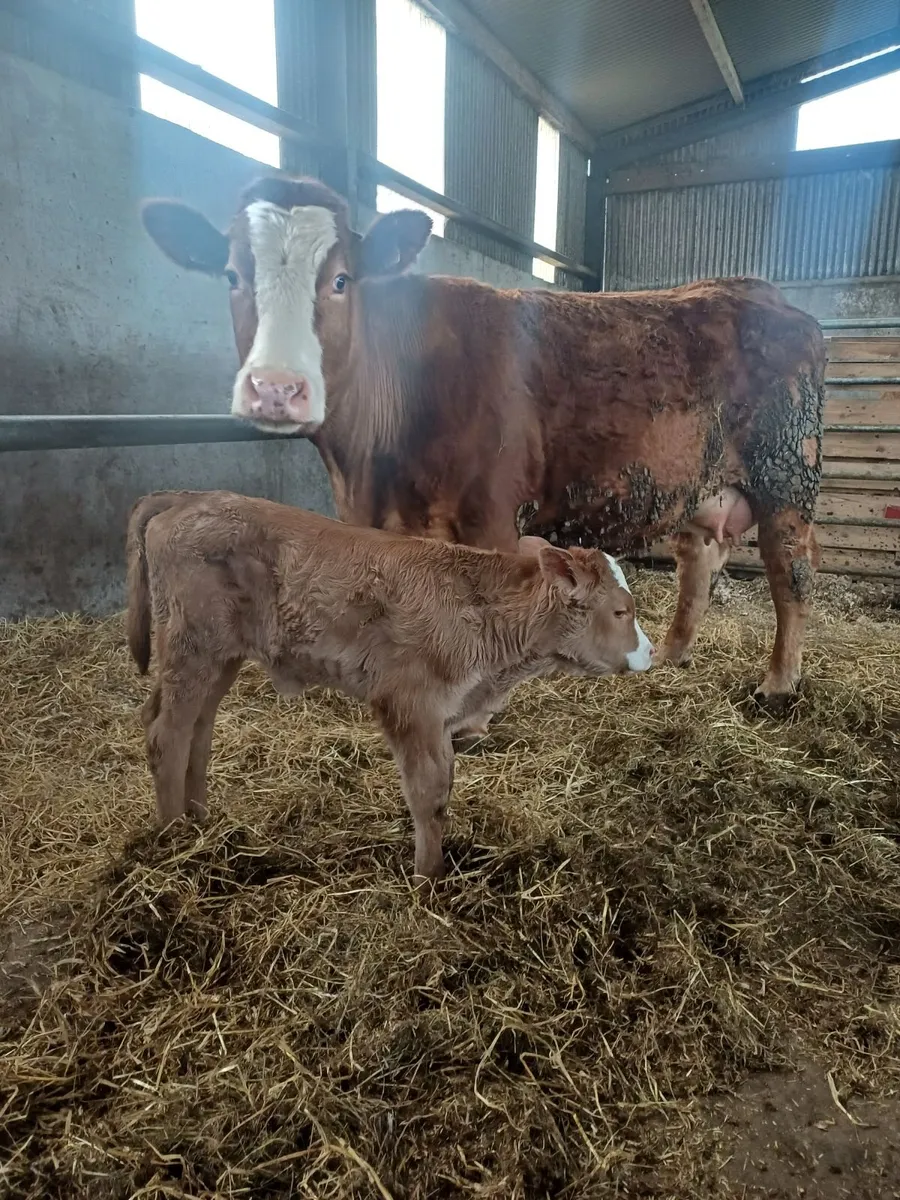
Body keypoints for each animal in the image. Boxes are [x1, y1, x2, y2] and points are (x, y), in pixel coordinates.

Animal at [126, 489, 654, 883]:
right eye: (621, 611)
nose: (649, 652)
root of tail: (191, 497)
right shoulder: (411, 705)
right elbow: (428, 793)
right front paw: (427, 880)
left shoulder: (442, 715)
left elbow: (443, 788)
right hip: (193, 647)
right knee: (166, 734)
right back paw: (173, 841)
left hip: (220, 656)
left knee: (197, 732)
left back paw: (200, 822)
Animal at [141, 175, 826, 714]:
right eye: (233, 273)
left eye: (341, 279)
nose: (277, 388)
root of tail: (767, 295)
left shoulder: (491, 516)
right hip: (700, 486)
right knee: (699, 559)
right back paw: (672, 654)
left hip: (788, 477)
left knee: (790, 575)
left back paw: (778, 684)